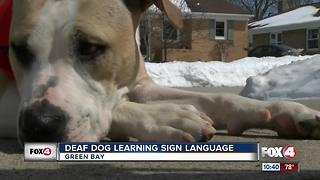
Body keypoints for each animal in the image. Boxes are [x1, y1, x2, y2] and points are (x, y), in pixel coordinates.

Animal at [0, 0, 320, 145]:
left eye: (91, 47)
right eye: (18, 49)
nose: (38, 125)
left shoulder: (140, 85)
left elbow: (220, 99)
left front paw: (286, 110)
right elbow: (119, 109)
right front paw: (169, 117)